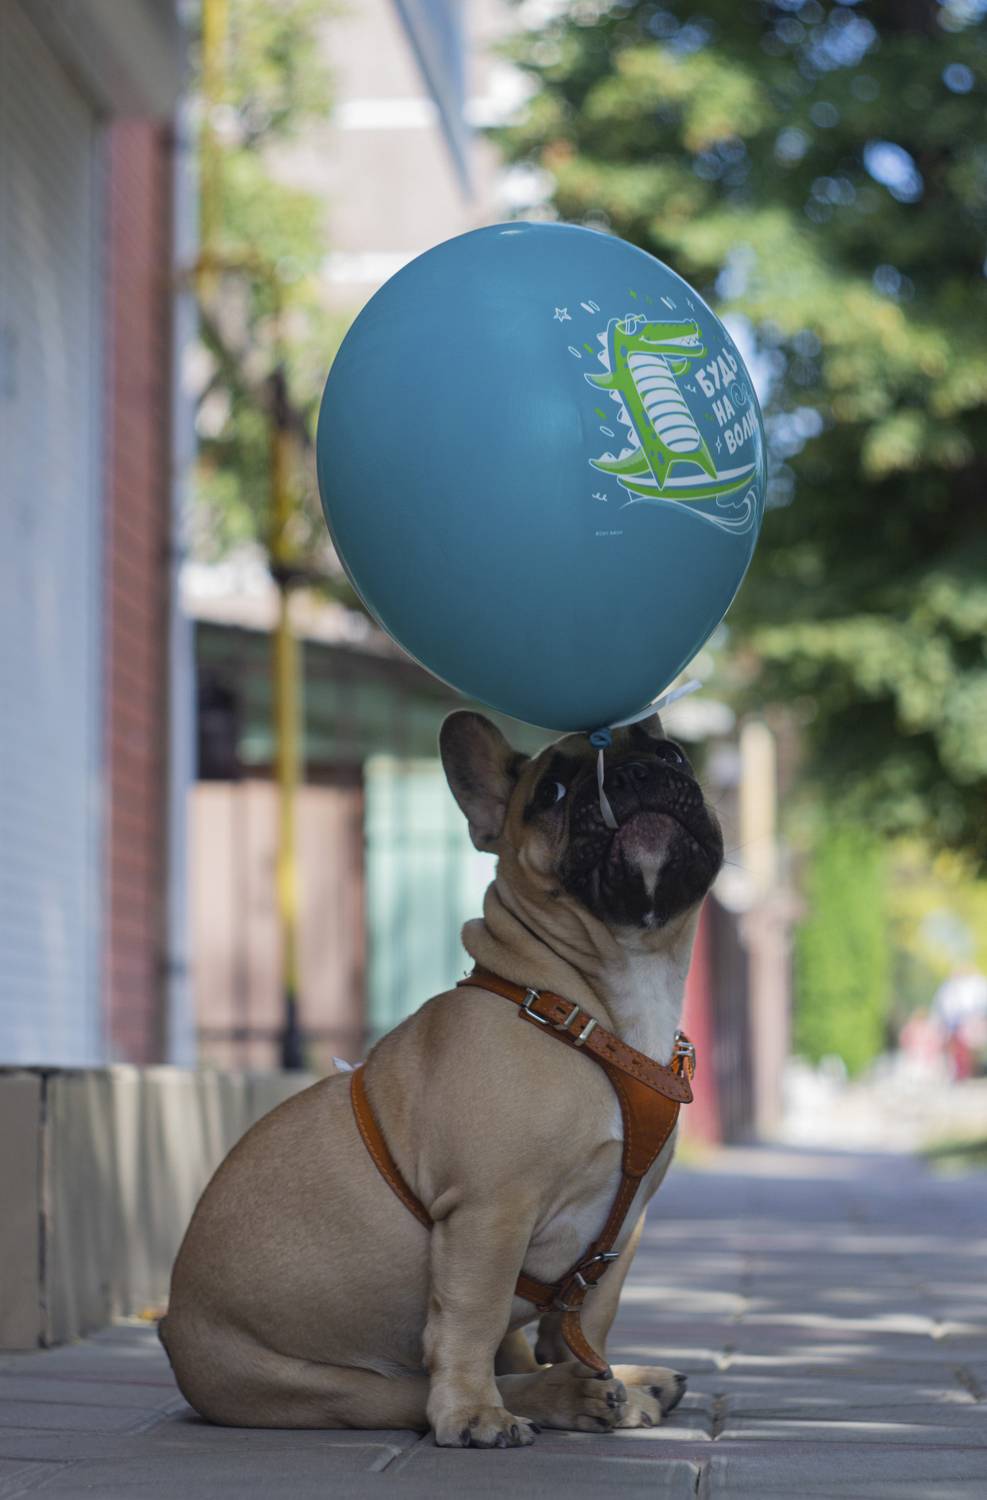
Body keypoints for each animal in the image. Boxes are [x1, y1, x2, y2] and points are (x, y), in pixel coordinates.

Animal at [160, 709, 723, 1446]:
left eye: (675, 757)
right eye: (551, 792)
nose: (634, 774)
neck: (590, 1006)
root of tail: (171, 1330)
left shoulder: (622, 1230)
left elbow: (589, 1321)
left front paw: (605, 1381)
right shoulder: (490, 1208)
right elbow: (471, 1319)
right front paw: (474, 1413)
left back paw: (618, 1383)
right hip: (329, 1387)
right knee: (426, 1381)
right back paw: (548, 1396)